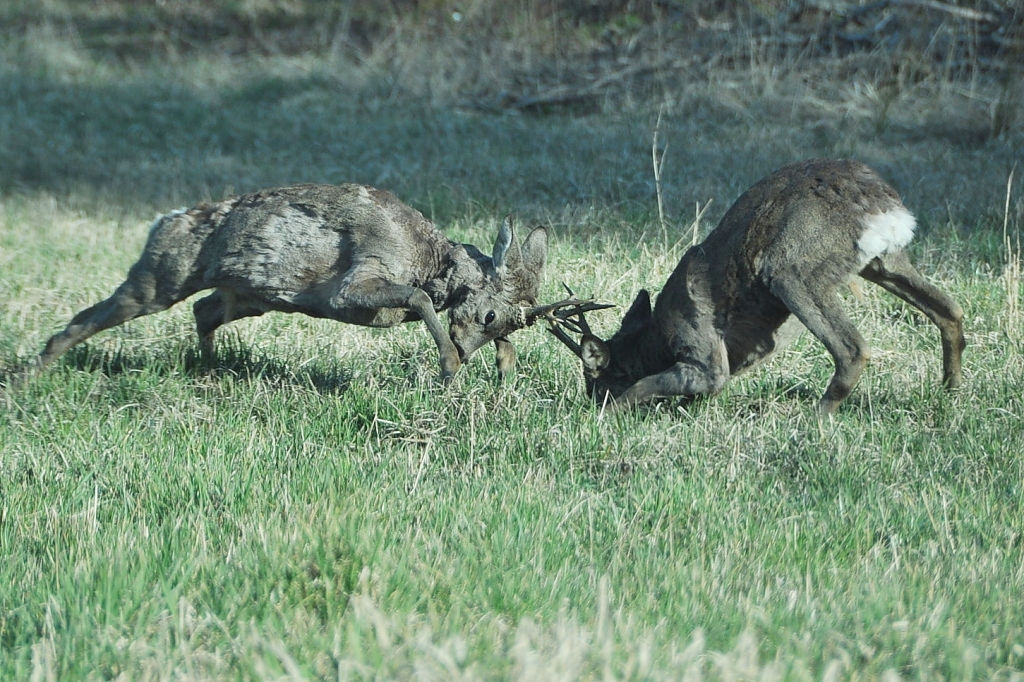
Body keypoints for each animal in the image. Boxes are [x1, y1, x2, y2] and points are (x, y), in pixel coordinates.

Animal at [29, 183, 569, 378]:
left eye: (513, 324)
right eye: (491, 313)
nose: (466, 348)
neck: (429, 259)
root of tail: (163, 219)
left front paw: (504, 374)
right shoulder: (354, 285)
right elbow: (417, 298)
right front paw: (449, 367)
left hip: (249, 297)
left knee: (204, 311)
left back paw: (208, 369)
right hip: (159, 280)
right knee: (82, 320)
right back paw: (27, 377)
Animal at [548, 157, 962, 413]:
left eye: (593, 381)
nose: (588, 403)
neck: (657, 340)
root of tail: (884, 207)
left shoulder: (704, 355)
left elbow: (644, 387)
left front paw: (609, 415)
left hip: (789, 268)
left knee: (852, 348)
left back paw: (816, 419)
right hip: (882, 261)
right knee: (950, 310)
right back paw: (950, 391)